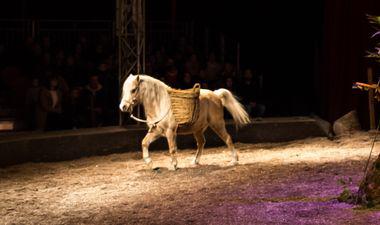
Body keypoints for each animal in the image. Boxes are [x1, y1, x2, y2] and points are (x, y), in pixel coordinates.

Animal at [119, 74, 249, 170]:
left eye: (133, 90)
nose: (123, 107)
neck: (161, 103)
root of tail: (216, 94)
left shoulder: (170, 132)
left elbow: (172, 148)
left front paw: (173, 166)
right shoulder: (157, 131)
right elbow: (144, 143)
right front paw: (149, 162)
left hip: (217, 124)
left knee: (227, 138)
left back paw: (234, 161)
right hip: (198, 129)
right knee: (201, 142)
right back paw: (195, 161)